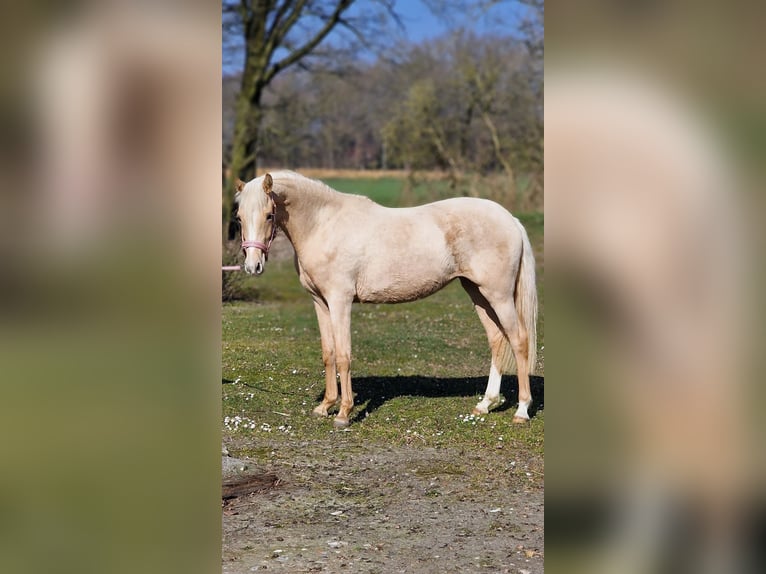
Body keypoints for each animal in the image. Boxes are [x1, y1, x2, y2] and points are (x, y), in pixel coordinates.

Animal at [236, 173, 540, 430]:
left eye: (269, 214)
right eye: (239, 218)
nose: (253, 266)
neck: (324, 224)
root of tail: (510, 220)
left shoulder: (340, 301)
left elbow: (344, 355)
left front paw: (343, 413)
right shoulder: (320, 302)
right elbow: (328, 354)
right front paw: (325, 407)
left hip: (498, 296)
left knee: (519, 340)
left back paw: (521, 411)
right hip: (477, 293)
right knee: (497, 341)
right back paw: (485, 404)